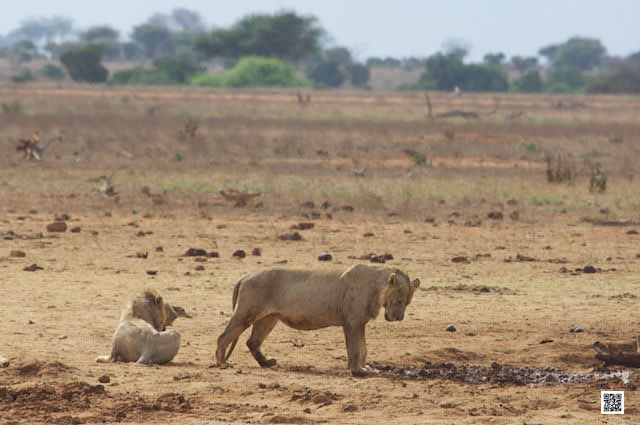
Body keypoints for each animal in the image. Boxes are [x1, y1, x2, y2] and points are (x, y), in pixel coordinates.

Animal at [216, 264, 420, 376]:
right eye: (399, 300)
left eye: (408, 302)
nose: (399, 318)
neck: (377, 288)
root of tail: (245, 276)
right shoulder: (353, 322)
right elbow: (357, 349)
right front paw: (358, 371)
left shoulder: (358, 323)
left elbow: (363, 349)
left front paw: (365, 369)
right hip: (246, 313)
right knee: (223, 336)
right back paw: (222, 363)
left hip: (268, 318)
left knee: (252, 341)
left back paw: (267, 363)